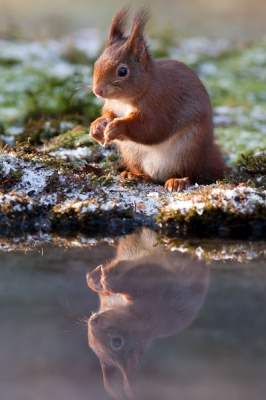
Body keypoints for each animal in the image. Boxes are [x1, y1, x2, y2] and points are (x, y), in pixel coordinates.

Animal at [86, 230, 209, 398]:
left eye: (117, 342)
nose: (93, 320)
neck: (136, 318)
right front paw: (96, 279)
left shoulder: (154, 290)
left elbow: (122, 281)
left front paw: (106, 279)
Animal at [90, 7, 227, 192]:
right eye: (96, 63)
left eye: (123, 71)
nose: (98, 91)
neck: (125, 100)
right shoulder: (113, 105)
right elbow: (108, 114)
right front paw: (97, 125)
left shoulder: (159, 102)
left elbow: (152, 128)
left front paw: (117, 127)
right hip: (132, 154)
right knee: (148, 175)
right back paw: (136, 176)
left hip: (189, 150)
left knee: (190, 174)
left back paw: (178, 181)